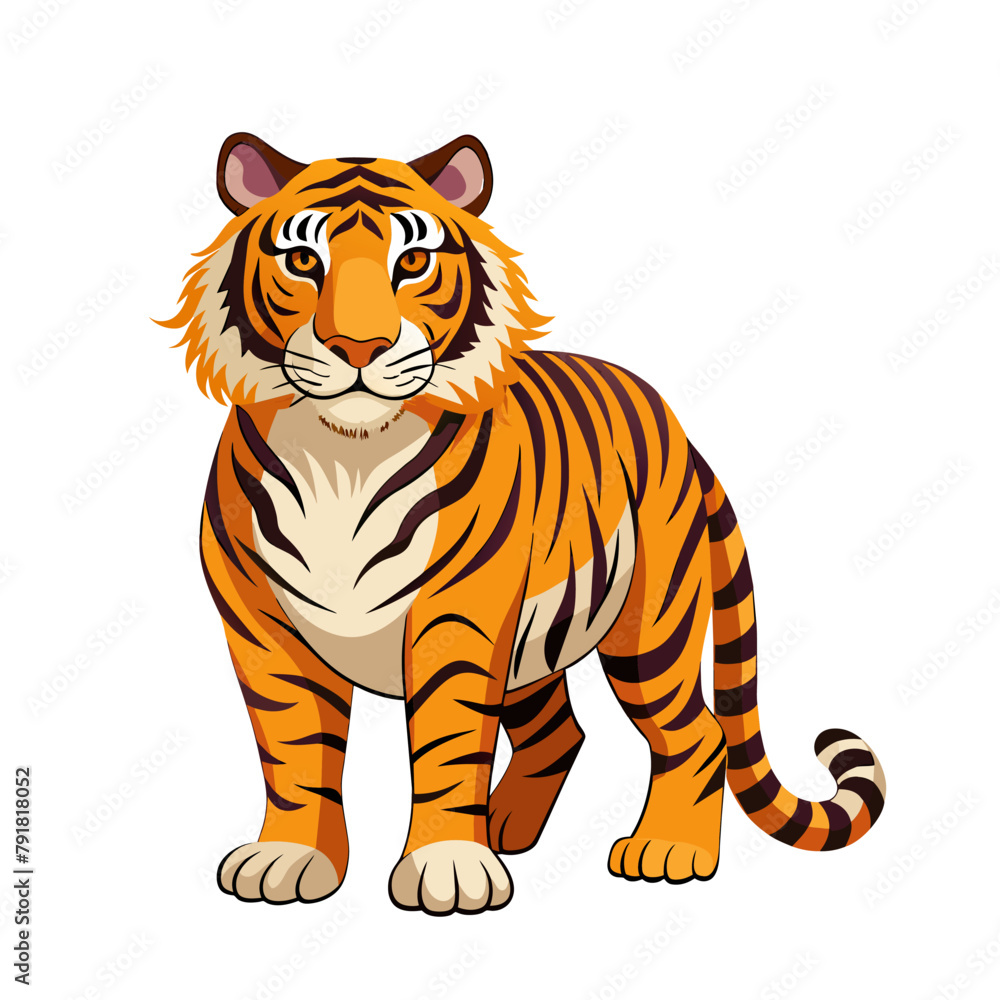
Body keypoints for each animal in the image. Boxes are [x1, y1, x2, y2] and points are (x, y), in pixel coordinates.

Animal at [160, 131, 886, 915]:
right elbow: (293, 750)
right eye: (302, 261)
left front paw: (448, 868)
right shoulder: (262, 624)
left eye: (411, 262)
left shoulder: (459, 615)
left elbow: (448, 744)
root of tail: (680, 431)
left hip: (647, 631)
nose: (358, 347)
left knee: (699, 735)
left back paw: (669, 851)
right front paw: (291, 859)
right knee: (560, 733)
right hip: (538, 647)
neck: (345, 451)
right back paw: (509, 826)